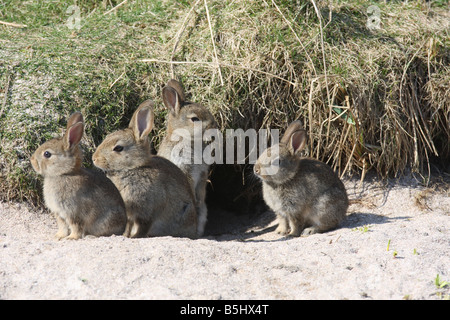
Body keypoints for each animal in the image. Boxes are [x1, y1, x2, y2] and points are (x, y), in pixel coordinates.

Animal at [30, 111, 127, 239]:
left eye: (47, 154)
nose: (32, 161)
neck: (64, 173)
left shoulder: (74, 213)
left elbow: (76, 226)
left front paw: (72, 238)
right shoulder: (59, 214)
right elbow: (62, 226)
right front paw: (58, 236)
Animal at [92, 101, 199, 239]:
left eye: (118, 148)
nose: (94, 159)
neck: (133, 168)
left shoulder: (148, 211)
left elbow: (143, 226)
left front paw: (134, 236)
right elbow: (129, 225)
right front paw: (126, 235)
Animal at [157, 79, 219, 236]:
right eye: (195, 119)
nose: (215, 127)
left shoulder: (202, 174)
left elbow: (201, 190)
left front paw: (198, 201)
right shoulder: (184, 169)